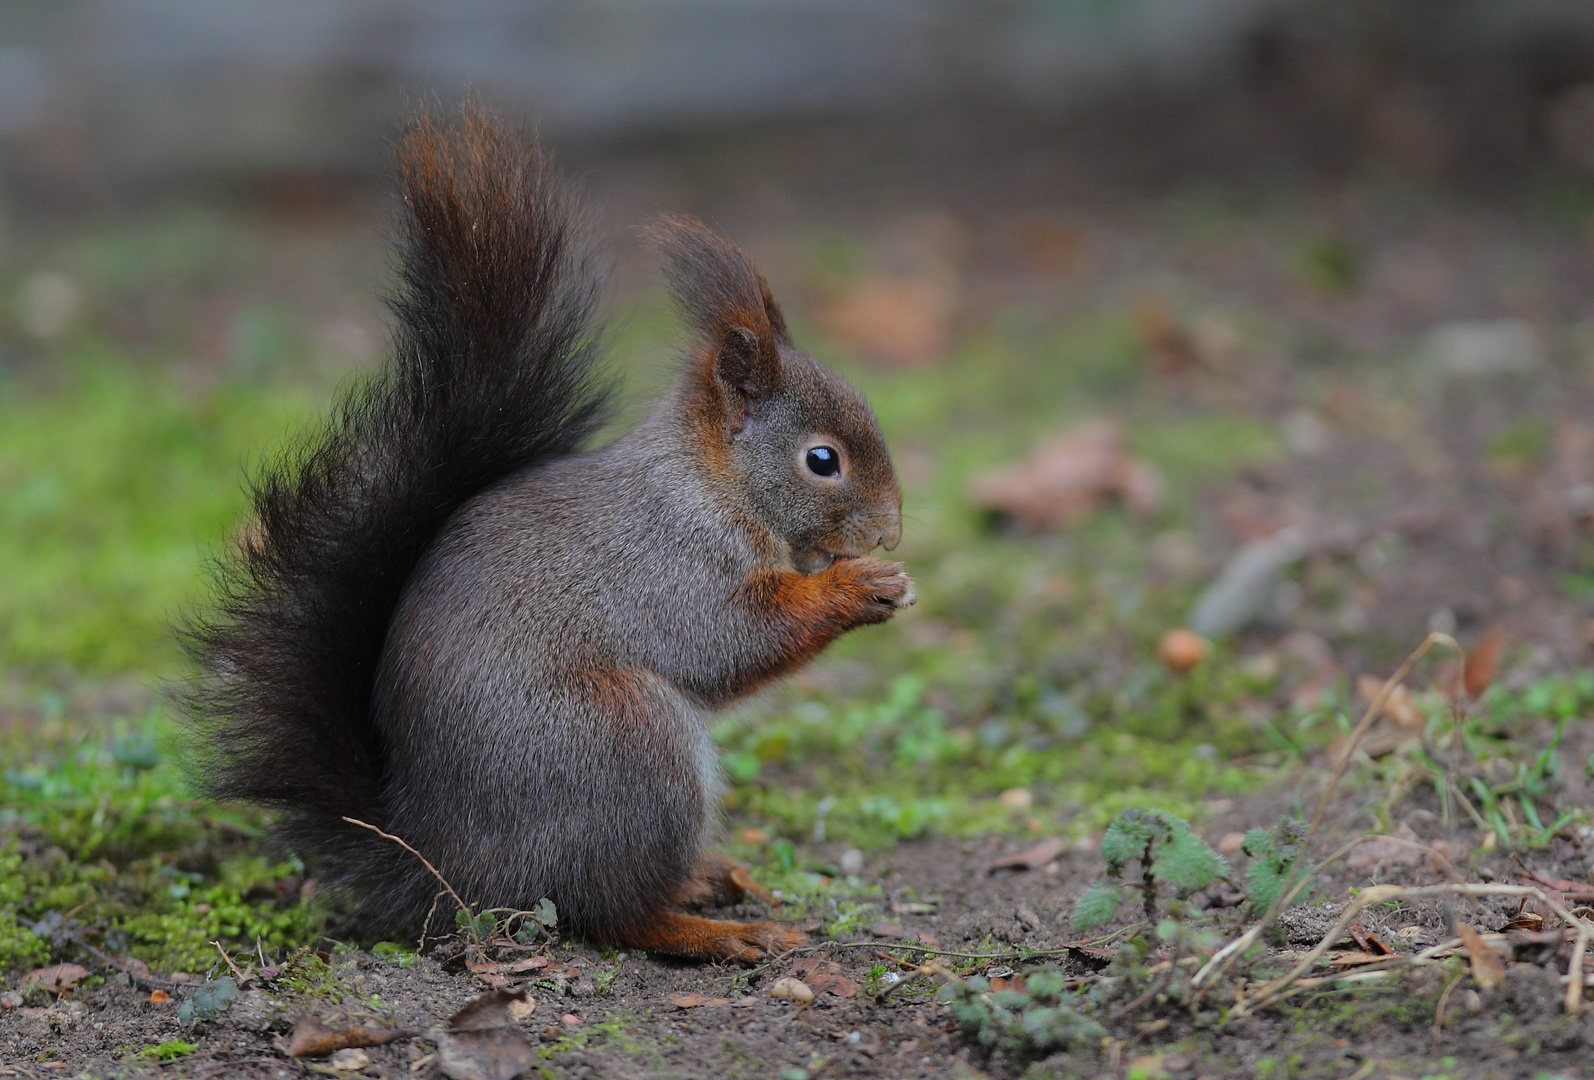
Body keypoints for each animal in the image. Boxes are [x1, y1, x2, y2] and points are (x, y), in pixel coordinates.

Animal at [177, 103, 911, 962]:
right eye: (822, 460)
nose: (891, 533)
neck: (708, 483)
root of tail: (450, 871)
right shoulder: (668, 562)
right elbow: (727, 639)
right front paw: (860, 586)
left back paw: (711, 880)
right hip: (624, 742)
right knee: (614, 913)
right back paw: (719, 931)